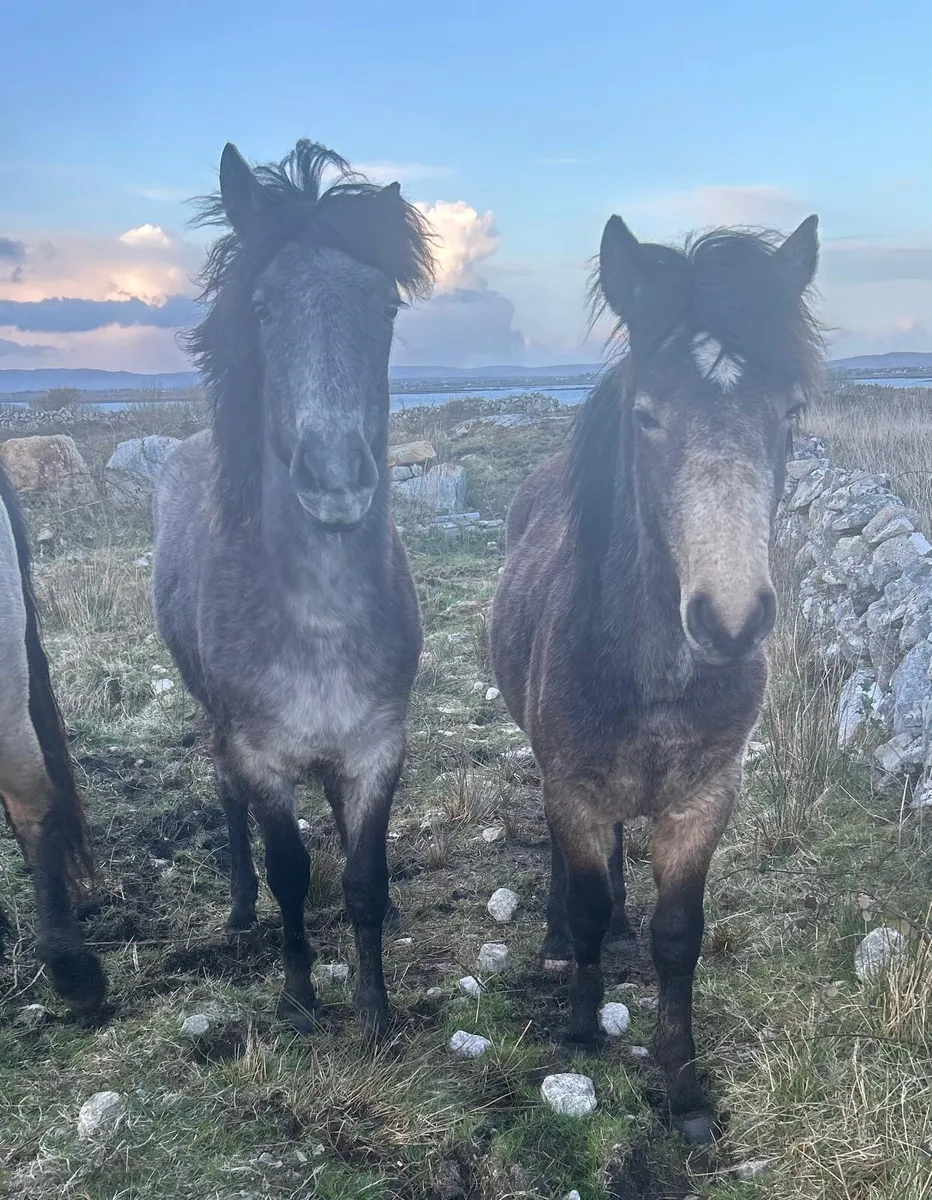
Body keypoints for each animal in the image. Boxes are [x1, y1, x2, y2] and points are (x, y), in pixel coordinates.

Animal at [152, 139, 433, 1038]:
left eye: (385, 305)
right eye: (264, 307)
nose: (336, 478)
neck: (320, 617)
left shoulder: (378, 746)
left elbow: (362, 875)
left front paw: (374, 1009)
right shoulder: (261, 755)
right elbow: (290, 873)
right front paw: (302, 999)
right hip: (215, 726)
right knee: (226, 802)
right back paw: (241, 909)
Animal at [489, 213, 821, 1143]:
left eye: (790, 412)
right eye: (646, 416)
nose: (731, 620)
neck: (656, 676)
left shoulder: (705, 797)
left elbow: (679, 934)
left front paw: (684, 1085)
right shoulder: (572, 785)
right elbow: (588, 900)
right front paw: (577, 1026)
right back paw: (561, 941)